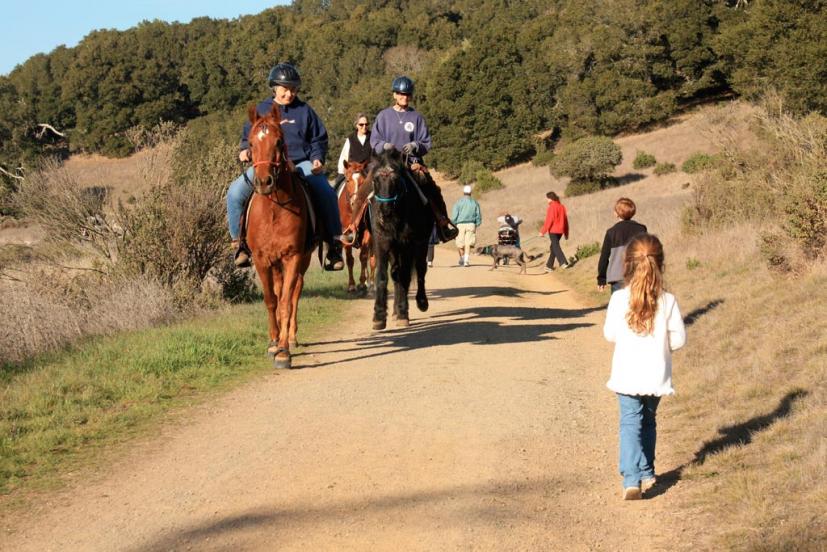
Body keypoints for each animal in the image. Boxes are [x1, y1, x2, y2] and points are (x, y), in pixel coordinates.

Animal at [246, 103, 314, 370]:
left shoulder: (292, 257)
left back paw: (292, 337)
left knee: (295, 291)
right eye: (251, 143)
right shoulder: (262, 259)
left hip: (302, 260)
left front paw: (284, 350)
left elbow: (286, 301)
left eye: (278, 141)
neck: (274, 209)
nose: (264, 182)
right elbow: (271, 300)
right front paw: (273, 342)